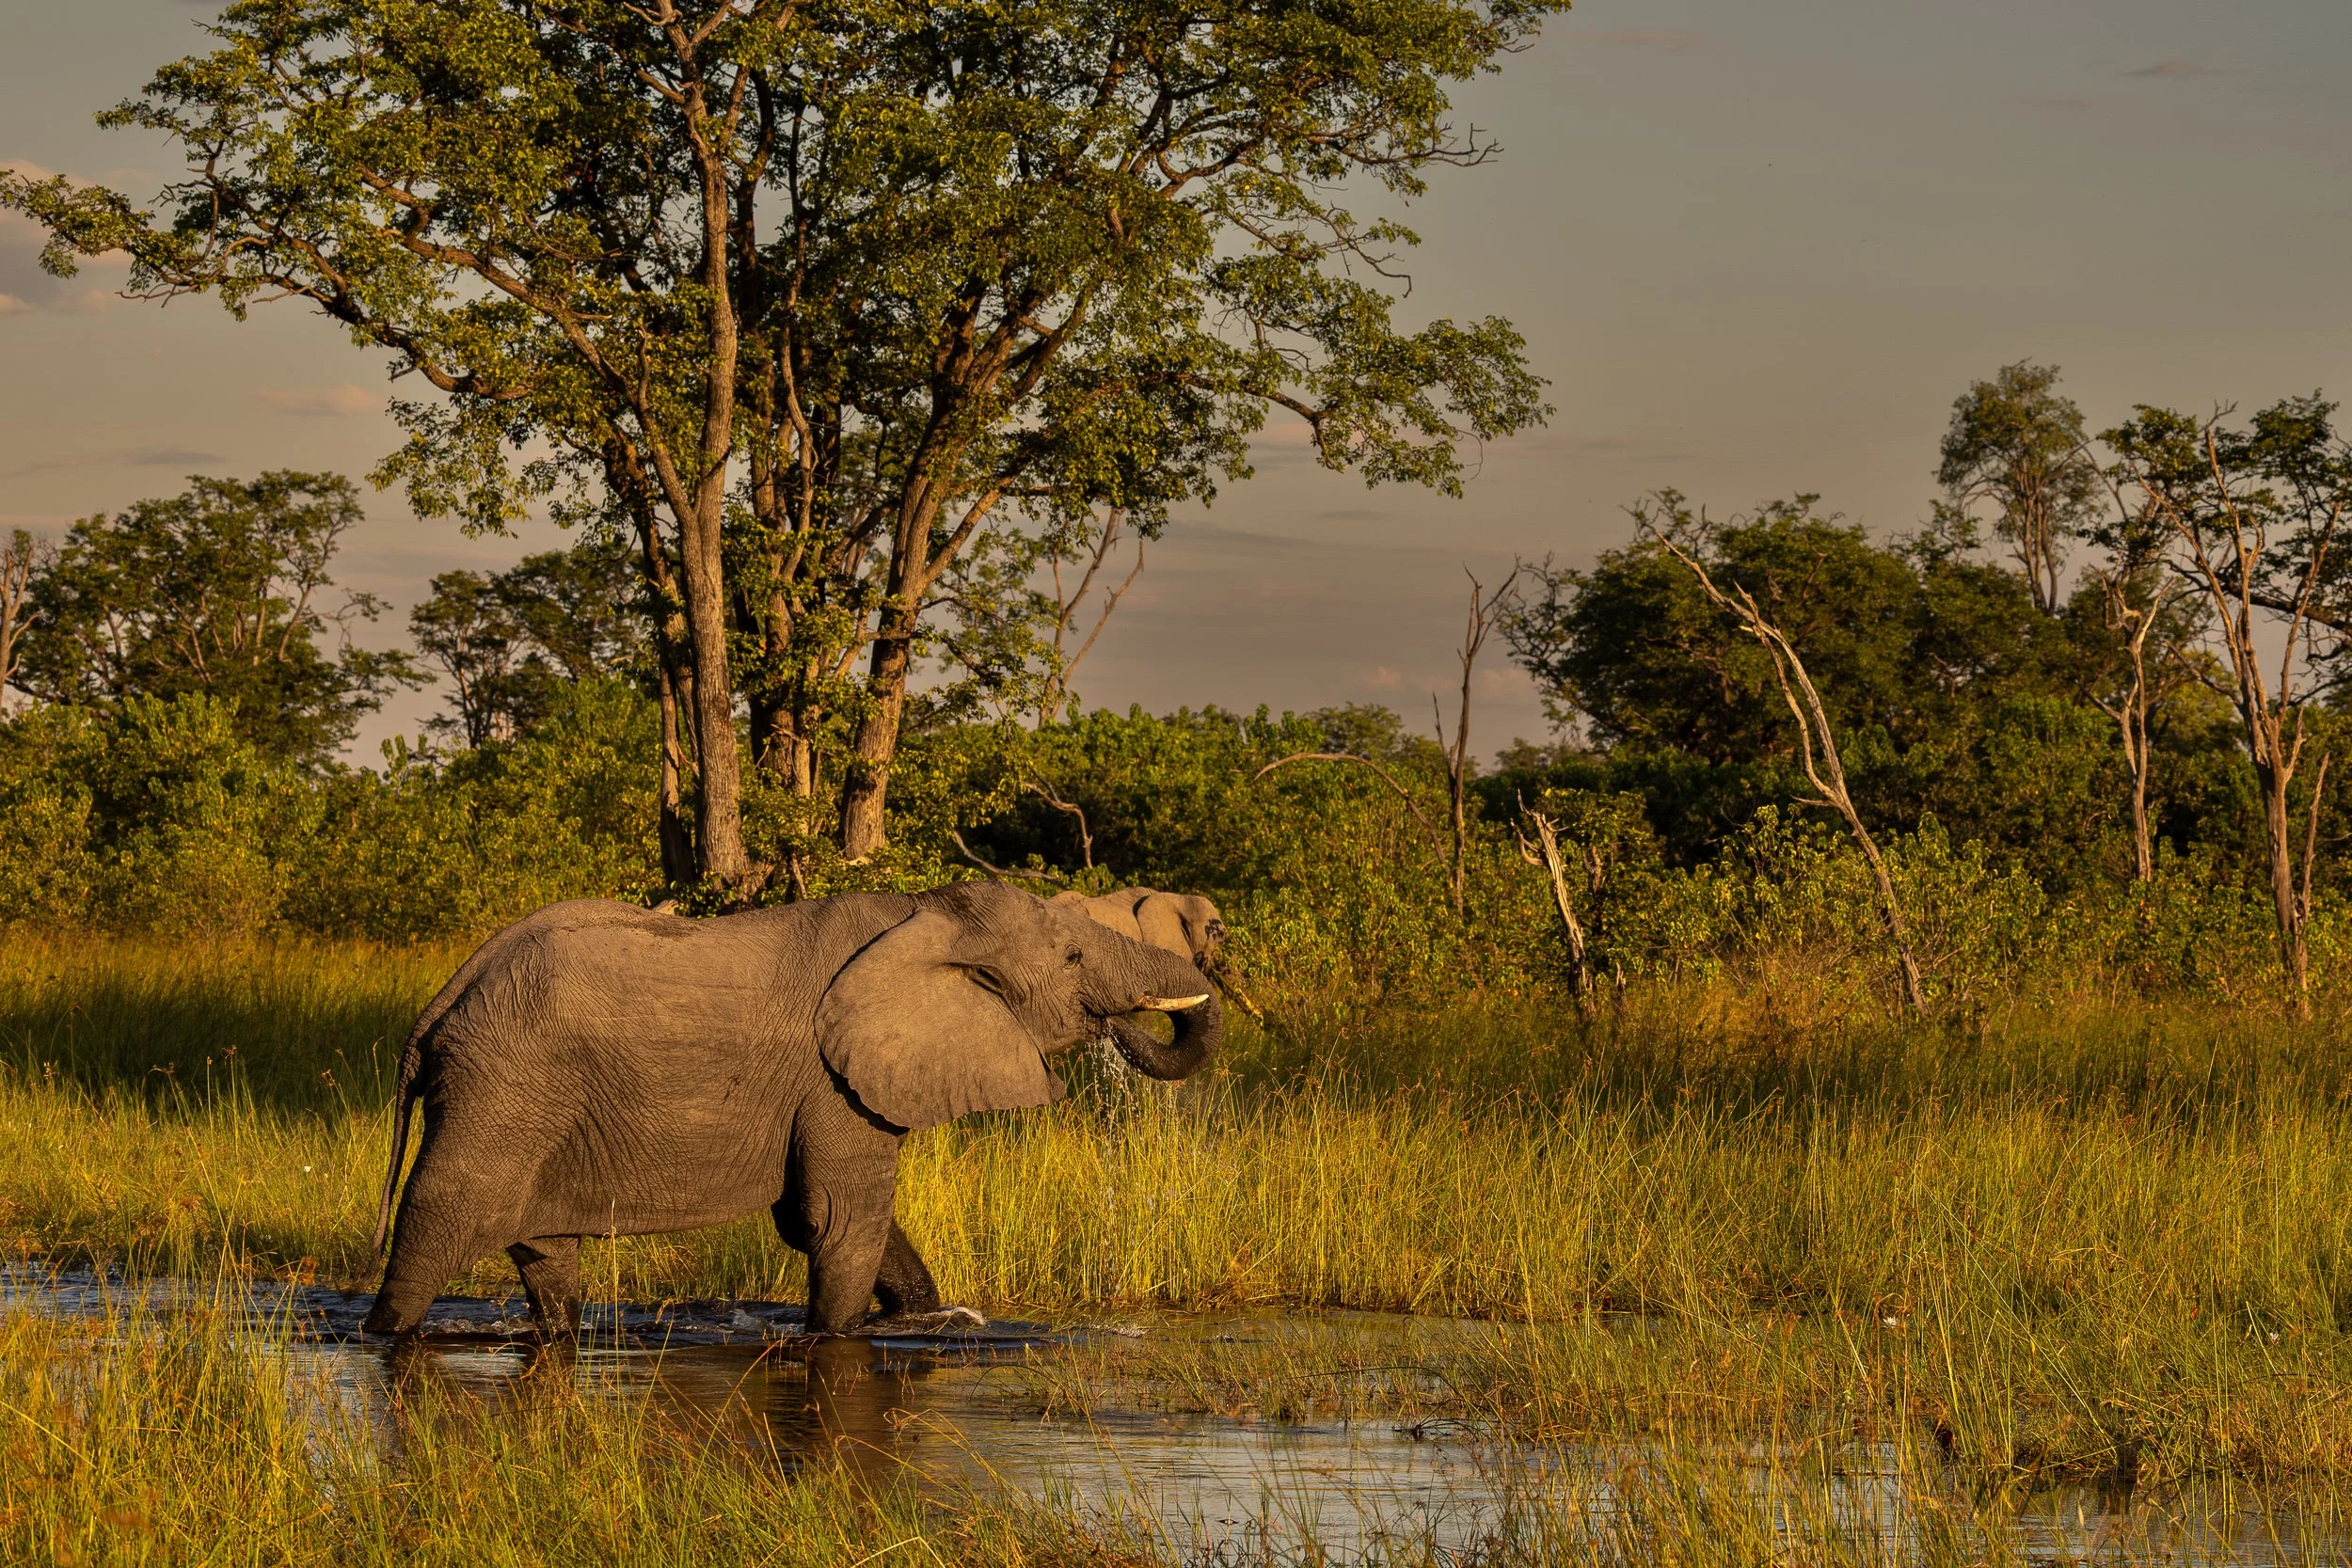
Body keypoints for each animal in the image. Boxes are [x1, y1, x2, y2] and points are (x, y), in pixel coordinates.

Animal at [360, 880, 1221, 1340]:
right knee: (437, 1220)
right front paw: (843, 1336)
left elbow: (833, 1218)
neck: (922, 913)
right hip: (501, 1087)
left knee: (544, 1252)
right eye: (1072, 957)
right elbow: (841, 1218)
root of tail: (436, 1008)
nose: (1117, 1023)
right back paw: (383, 1333)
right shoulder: (833, 1079)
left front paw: (929, 1321)